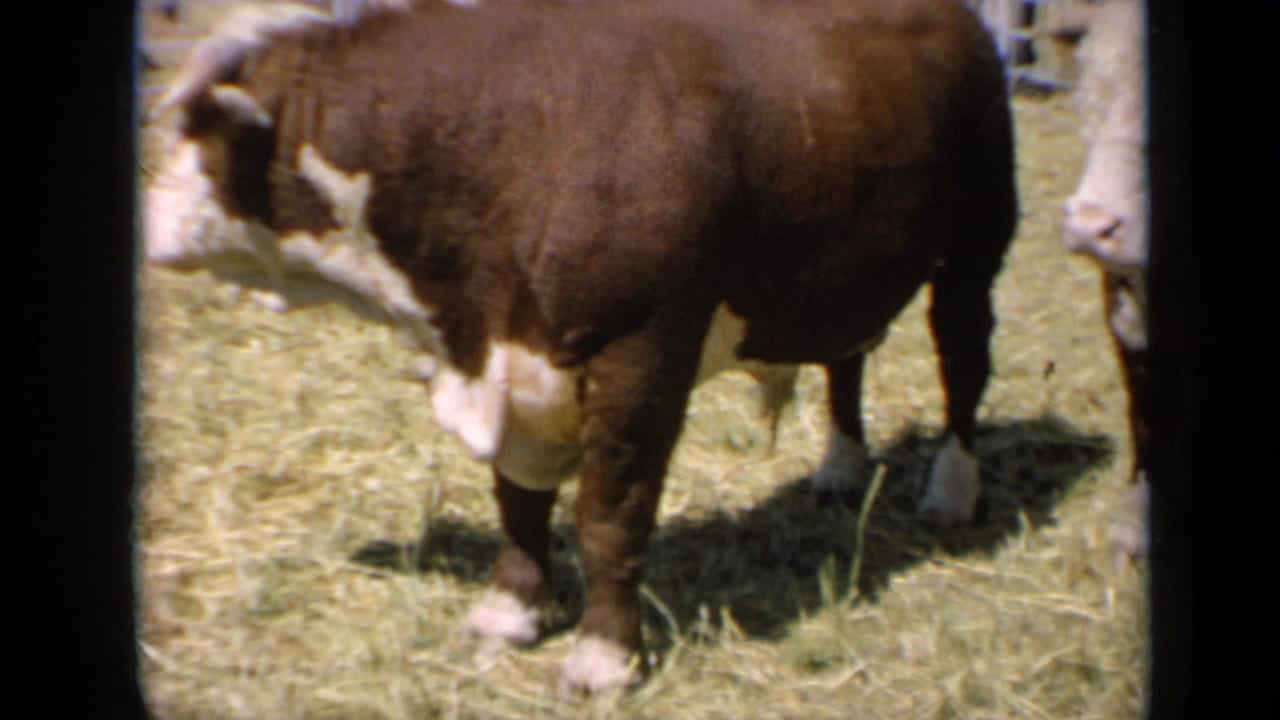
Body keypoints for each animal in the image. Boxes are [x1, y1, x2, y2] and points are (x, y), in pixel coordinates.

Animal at [144, 0, 1017, 695]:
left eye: (200, 127)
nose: (149, 223)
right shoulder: (516, 367)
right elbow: (519, 501)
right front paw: (511, 610)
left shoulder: (641, 356)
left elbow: (610, 515)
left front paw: (604, 655)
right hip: (843, 268)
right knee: (848, 354)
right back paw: (839, 467)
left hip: (975, 244)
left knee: (963, 365)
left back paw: (952, 490)